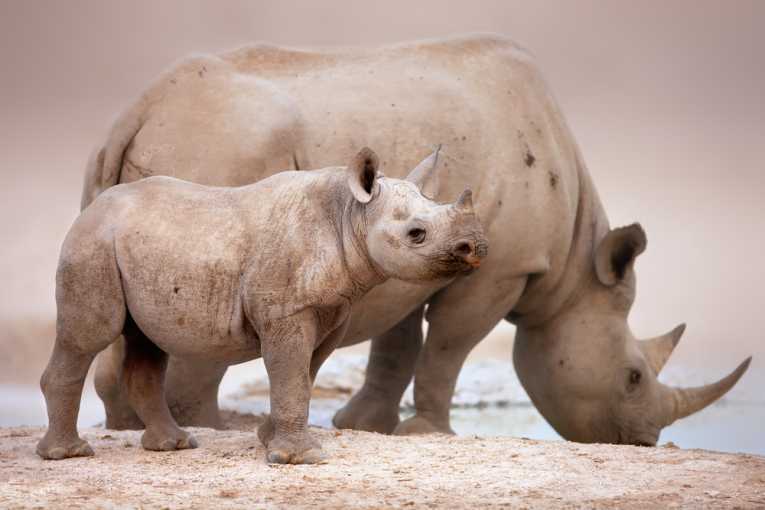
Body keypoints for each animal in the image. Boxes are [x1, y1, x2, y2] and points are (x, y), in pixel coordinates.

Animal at [37, 147, 487, 463]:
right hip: (92, 243)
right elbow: (290, 373)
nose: (477, 247)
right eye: (416, 234)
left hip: (130, 247)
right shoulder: (287, 311)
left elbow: (304, 374)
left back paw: (173, 445)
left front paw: (269, 441)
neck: (350, 216)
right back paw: (68, 454)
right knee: (90, 336)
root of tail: (92, 207)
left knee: (146, 342)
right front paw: (301, 459)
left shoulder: (331, 310)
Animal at [84, 34, 750, 446]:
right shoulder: (501, 269)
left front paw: (363, 425)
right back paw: (217, 429)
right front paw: (430, 432)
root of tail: (139, 110)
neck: (571, 273)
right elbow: (450, 346)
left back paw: (131, 429)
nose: (645, 441)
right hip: (223, 150)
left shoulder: (408, 251)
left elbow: (397, 343)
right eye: (634, 376)